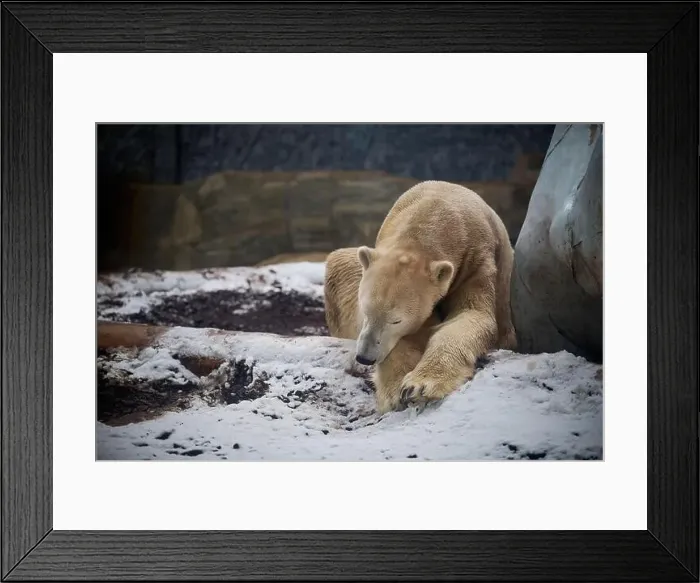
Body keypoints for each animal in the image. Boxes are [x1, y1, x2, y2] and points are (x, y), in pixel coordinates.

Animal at [323, 180, 516, 413]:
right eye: (366, 311)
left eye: (396, 320)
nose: (365, 357)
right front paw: (395, 390)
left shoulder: (477, 261)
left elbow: (473, 316)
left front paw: (420, 385)